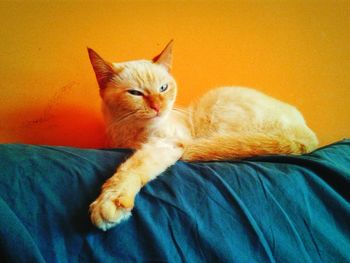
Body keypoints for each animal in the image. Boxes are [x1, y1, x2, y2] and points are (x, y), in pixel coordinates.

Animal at [87, 39, 318, 231]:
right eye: (135, 93)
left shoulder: (168, 142)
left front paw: (109, 203)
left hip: (217, 108)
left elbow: (131, 169)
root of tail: (307, 132)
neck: (132, 132)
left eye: (163, 88)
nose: (158, 107)